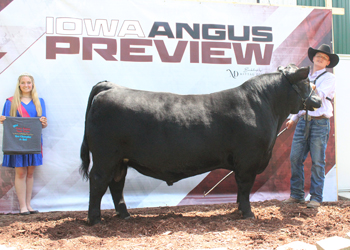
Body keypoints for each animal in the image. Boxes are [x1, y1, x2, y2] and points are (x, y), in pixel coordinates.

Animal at [80, 63, 322, 226]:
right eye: (306, 82)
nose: (319, 101)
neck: (266, 107)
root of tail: (110, 87)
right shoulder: (248, 160)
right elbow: (245, 187)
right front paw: (248, 213)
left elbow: (240, 189)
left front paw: (238, 209)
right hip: (105, 156)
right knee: (98, 181)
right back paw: (95, 219)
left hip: (120, 160)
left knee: (116, 185)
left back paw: (125, 215)